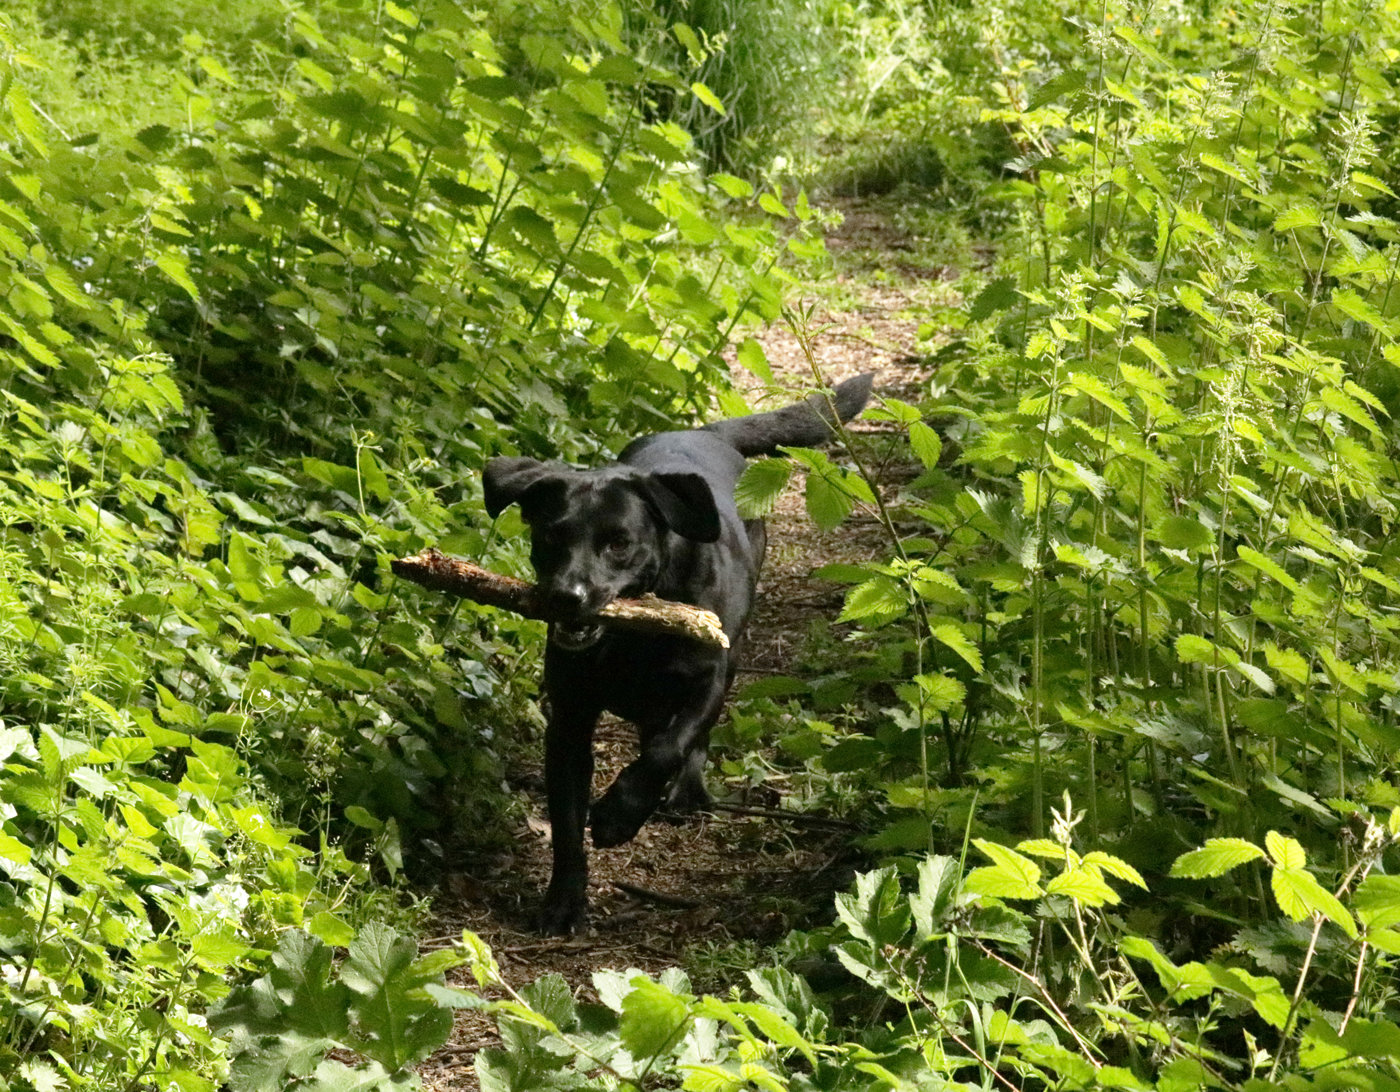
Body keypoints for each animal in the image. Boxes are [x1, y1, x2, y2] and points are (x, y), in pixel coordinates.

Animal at [482, 374, 874, 933]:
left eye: (619, 543)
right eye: (550, 536)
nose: (565, 596)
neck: (632, 638)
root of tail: (709, 433)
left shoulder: (706, 681)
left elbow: (671, 747)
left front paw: (619, 814)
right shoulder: (570, 721)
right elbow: (566, 821)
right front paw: (564, 902)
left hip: (731, 653)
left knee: (687, 741)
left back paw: (682, 793)